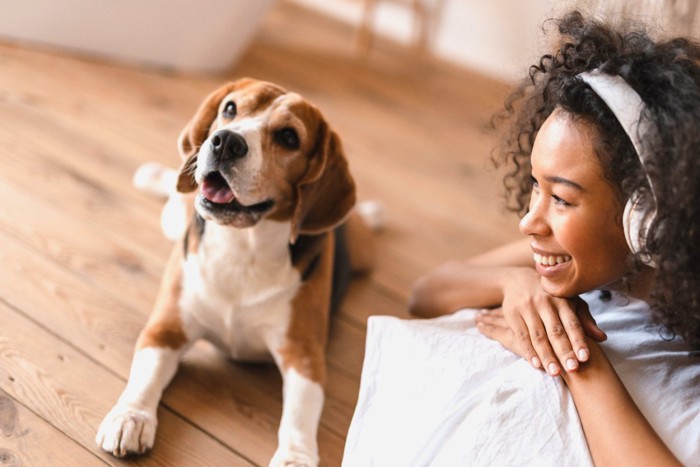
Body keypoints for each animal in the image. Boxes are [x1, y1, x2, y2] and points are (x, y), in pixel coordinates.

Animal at [97, 78, 378, 466]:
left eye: (289, 137)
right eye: (230, 108)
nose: (226, 141)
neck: (243, 246)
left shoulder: (304, 357)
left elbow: (299, 415)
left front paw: (295, 457)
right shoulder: (165, 329)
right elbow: (145, 375)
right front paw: (131, 417)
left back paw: (372, 212)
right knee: (176, 197)